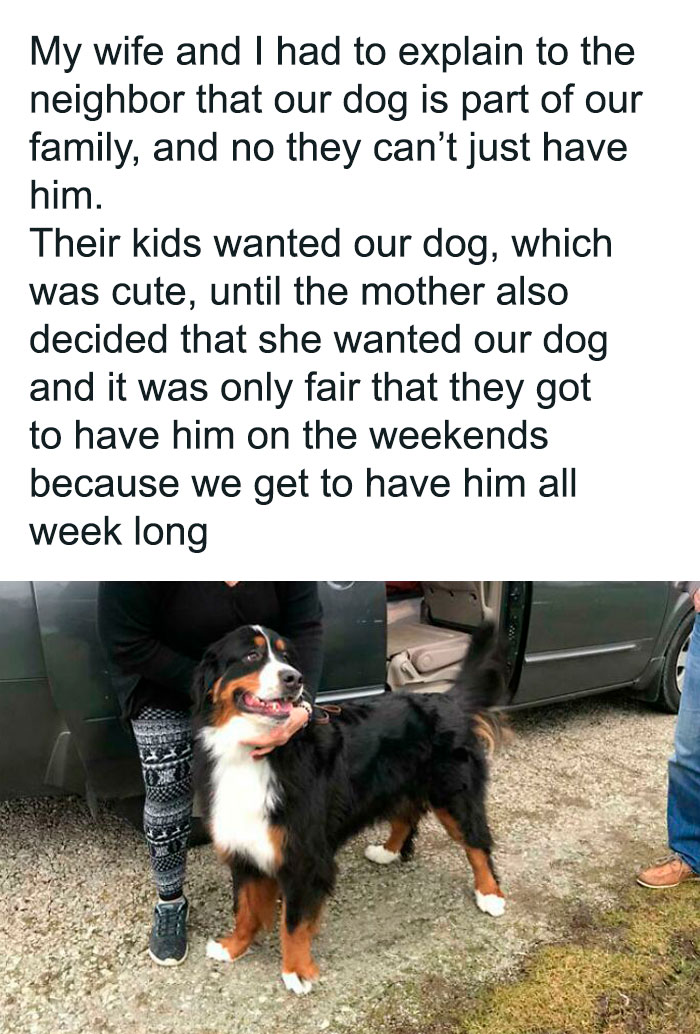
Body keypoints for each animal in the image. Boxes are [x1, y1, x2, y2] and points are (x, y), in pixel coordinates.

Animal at [193, 620, 504, 992]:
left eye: (286, 656)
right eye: (251, 655)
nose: (294, 678)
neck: (261, 752)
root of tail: (448, 699)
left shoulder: (304, 854)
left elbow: (293, 922)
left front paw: (296, 971)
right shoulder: (243, 842)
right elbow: (245, 906)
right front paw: (232, 946)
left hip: (454, 792)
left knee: (477, 842)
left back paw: (490, 894)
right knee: (405, 816)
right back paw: (387, 851)